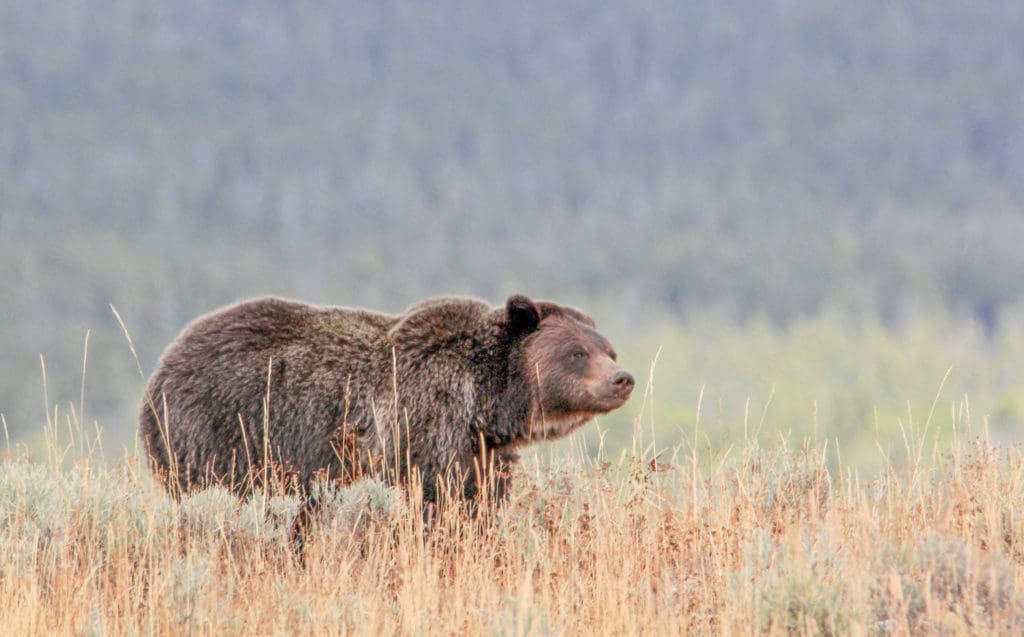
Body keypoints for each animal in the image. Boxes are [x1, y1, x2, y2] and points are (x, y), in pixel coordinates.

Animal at [138, 294, 634, 506]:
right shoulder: (423, 424)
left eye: (608, 349)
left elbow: (482, 496)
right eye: (576, 353)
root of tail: (162, 365)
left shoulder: (482, 450)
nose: (622, 379)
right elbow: (434, 498)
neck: (485, 403)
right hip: (219, 431)